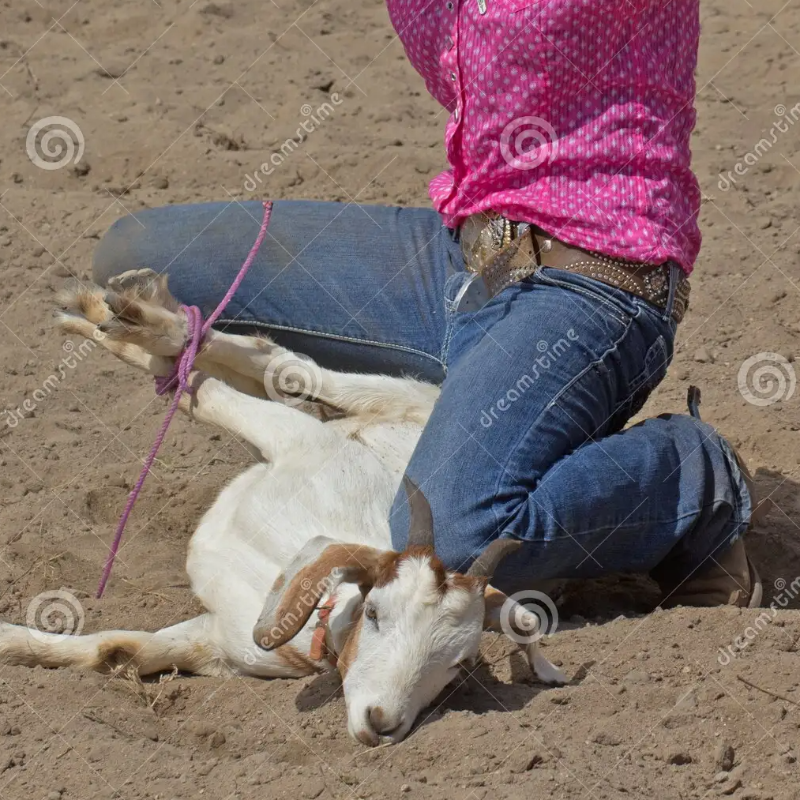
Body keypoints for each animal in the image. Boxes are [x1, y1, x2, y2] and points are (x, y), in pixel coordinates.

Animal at [0, 269, 566, 746]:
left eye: (458, 663)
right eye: (376, 613)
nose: (382, 723)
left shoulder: (219, 639)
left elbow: (117, 650)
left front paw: (10, 643)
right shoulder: (296, 439)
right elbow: (208, 397)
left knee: (257, 366)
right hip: (382, 397)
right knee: (280, 366)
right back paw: (122, 317)